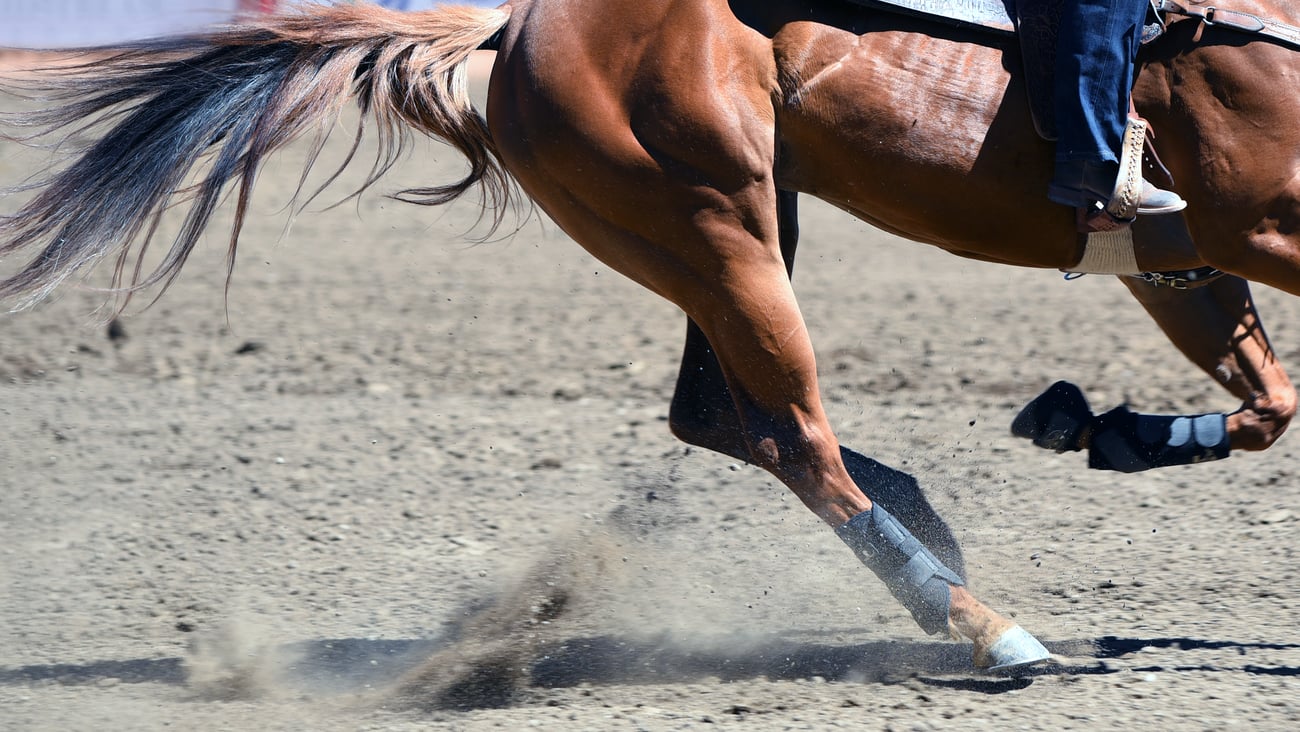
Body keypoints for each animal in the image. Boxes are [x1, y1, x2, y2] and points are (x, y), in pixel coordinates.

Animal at [2, 0, 1300, 670]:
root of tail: (509, 31)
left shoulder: (1187, 248)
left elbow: (1270, 402)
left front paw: (1113, 430)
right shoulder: (1252, 219)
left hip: (725, 228)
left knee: (721, 416)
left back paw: (935, 533)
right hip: (718, 224)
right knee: (789, 437)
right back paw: (980, 623)